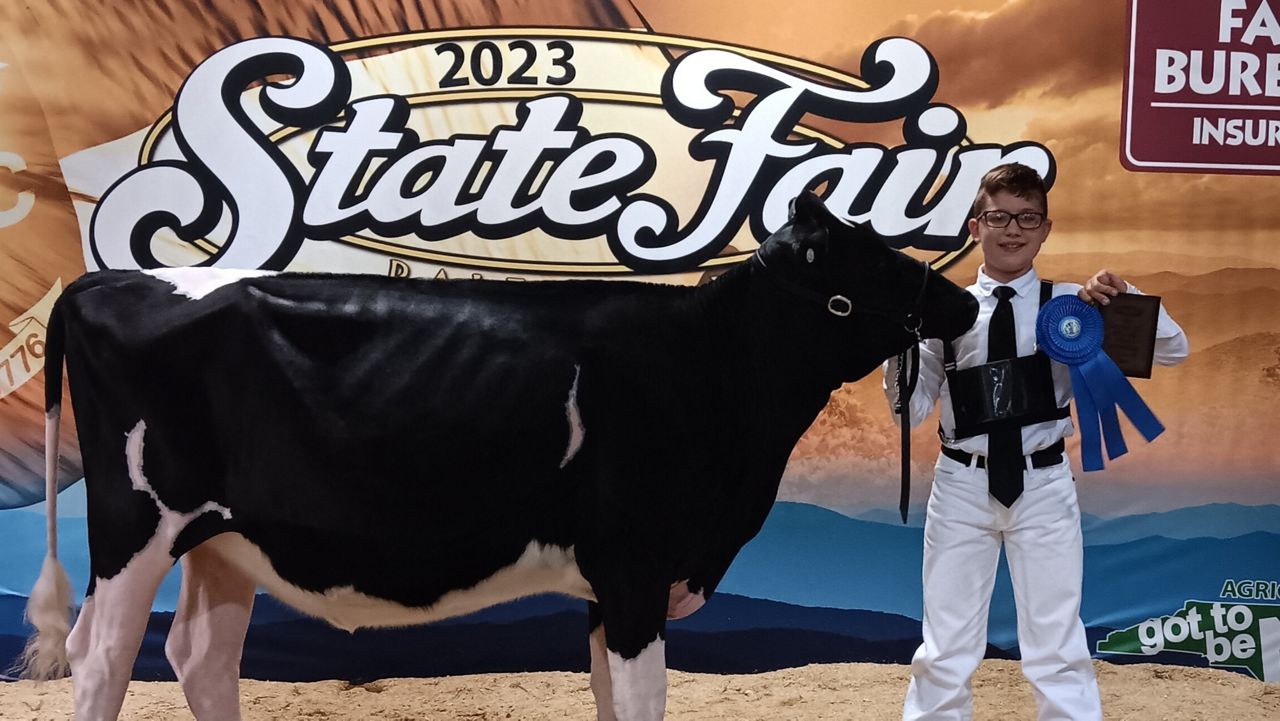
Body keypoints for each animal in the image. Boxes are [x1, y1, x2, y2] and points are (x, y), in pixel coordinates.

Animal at [20, 193, 972, 721]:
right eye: (870, 255)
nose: (963, 303)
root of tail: (105, 277)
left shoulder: (611, 585)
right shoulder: (634, 568)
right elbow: (641, 698)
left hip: (224, 540)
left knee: (201, 655)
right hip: (137, 524)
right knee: (102, 657)